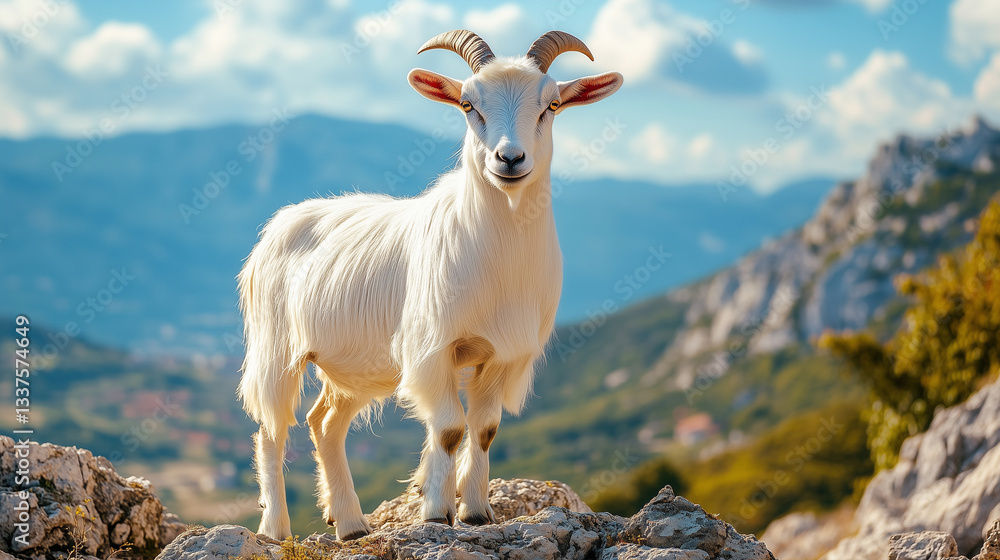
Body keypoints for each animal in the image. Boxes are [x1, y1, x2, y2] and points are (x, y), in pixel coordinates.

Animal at [238, 29, 623, 541]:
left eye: (552, 105)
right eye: (467, 104)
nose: (509, 159)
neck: (500, 257)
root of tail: (279, 223)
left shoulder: (502, 355)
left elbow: (484, 429)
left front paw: (476, 511)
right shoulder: (433, 347)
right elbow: (449, 429)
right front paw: (437, 512)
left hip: (354, 365)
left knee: (325, 422)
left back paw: (350, 524)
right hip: (275, 349)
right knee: (271, 429)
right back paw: (275, 529)